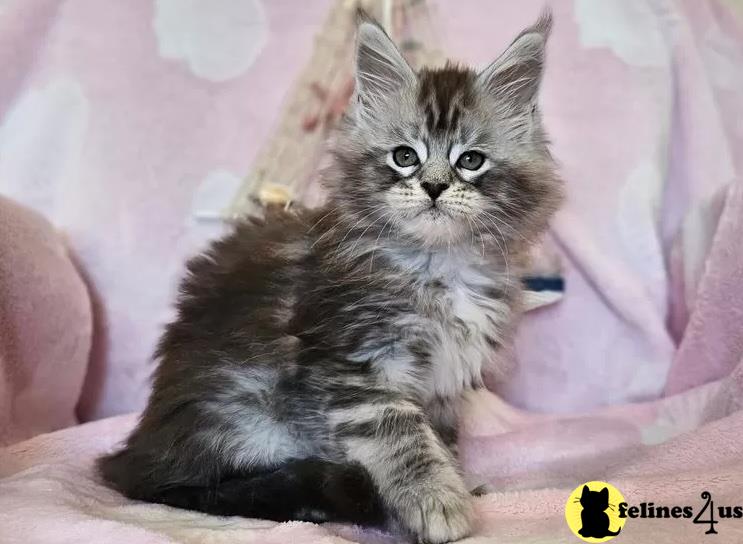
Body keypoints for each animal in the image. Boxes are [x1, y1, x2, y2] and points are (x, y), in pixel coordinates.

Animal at [100, 9, 564, 544]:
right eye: (404, 156)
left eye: (470, 160)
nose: (432, 186)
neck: (437, 263)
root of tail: (136, 457)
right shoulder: (354, 364)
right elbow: (402, 437)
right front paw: (437, 505)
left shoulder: (445, 383)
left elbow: (442, 439)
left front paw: (455, 483)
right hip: (250, 417)